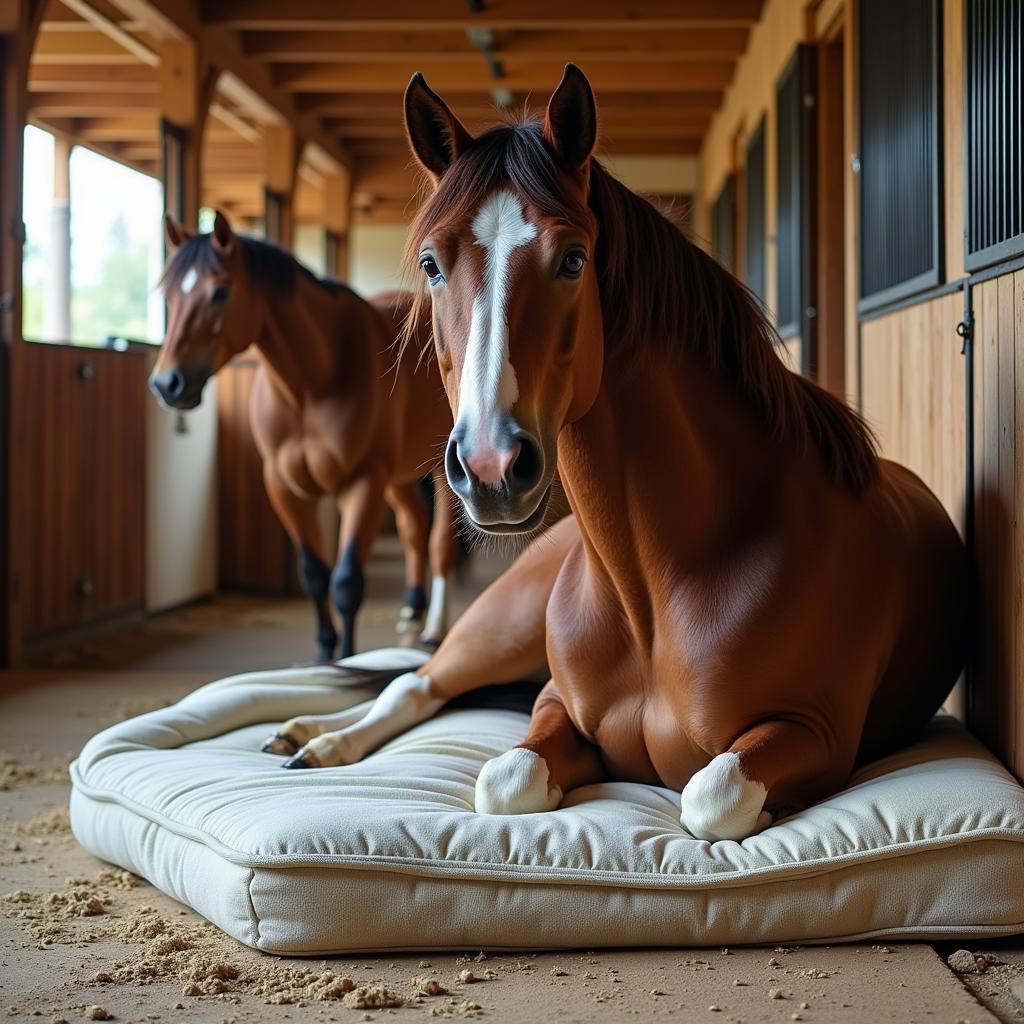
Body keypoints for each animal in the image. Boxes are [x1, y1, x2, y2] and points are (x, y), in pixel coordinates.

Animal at [150, 211, 456, 667]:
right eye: (169, 292)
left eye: (220, 291)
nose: (167, 384)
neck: (312, 383)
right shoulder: (285, 487)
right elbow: (314, 575)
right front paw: (323, 653)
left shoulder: (363, 482)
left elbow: (346, 582)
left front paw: (345, 661)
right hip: (400, 474)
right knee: (413, 527)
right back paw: (412, 612)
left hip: (439, 468)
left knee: (440, 543)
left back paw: (435, 630)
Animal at [266, 66, 966, 839]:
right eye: (430, 264)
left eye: (574, 259)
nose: (490, 469)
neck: (654, 592)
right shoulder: (551, 705)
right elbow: (503, 777)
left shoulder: (815, 734)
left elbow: (710, 794)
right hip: (499, 626)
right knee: (415, 685)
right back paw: (316, 738)